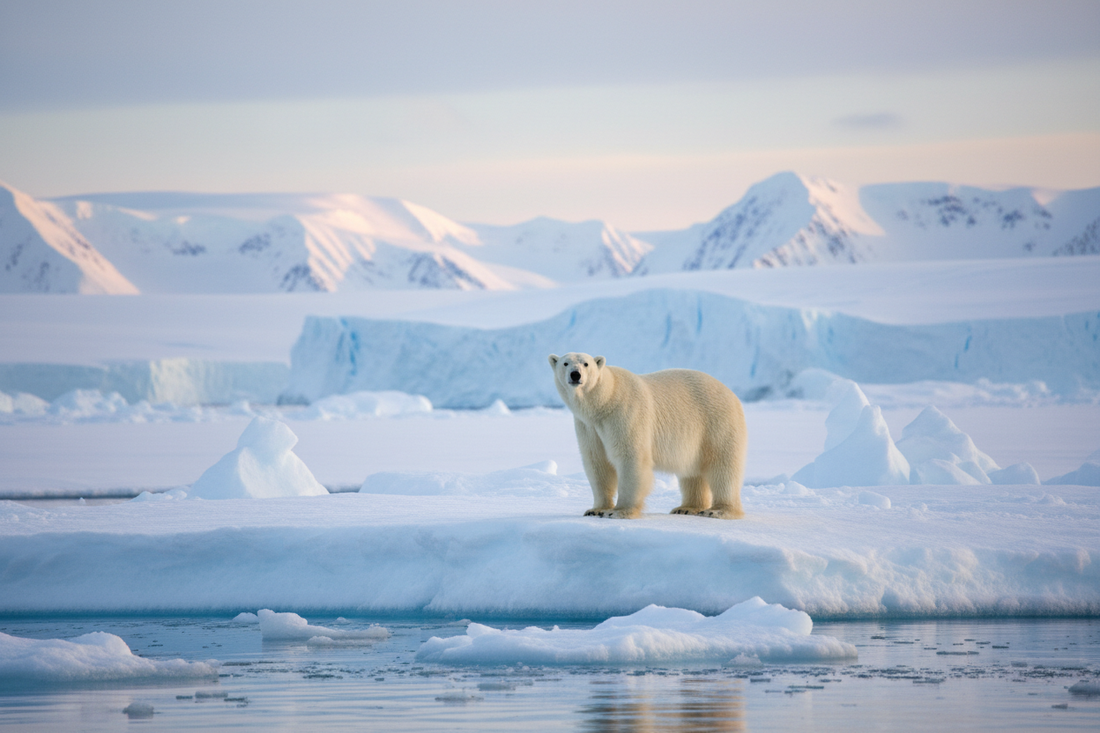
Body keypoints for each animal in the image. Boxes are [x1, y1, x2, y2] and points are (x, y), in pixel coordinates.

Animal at [549, 352, 747, 519]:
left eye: (586, 363)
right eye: (565, 363)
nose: (575, 374)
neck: (604, 402)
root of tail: (731, 394)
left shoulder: (625, 413)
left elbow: (630, 457)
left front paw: (619, 511)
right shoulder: (588, 426)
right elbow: (597, 462)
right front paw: (595, 509)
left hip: (716, 423)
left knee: (723, 467)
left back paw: (718, 510)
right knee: (692, 472)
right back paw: (686, 508)